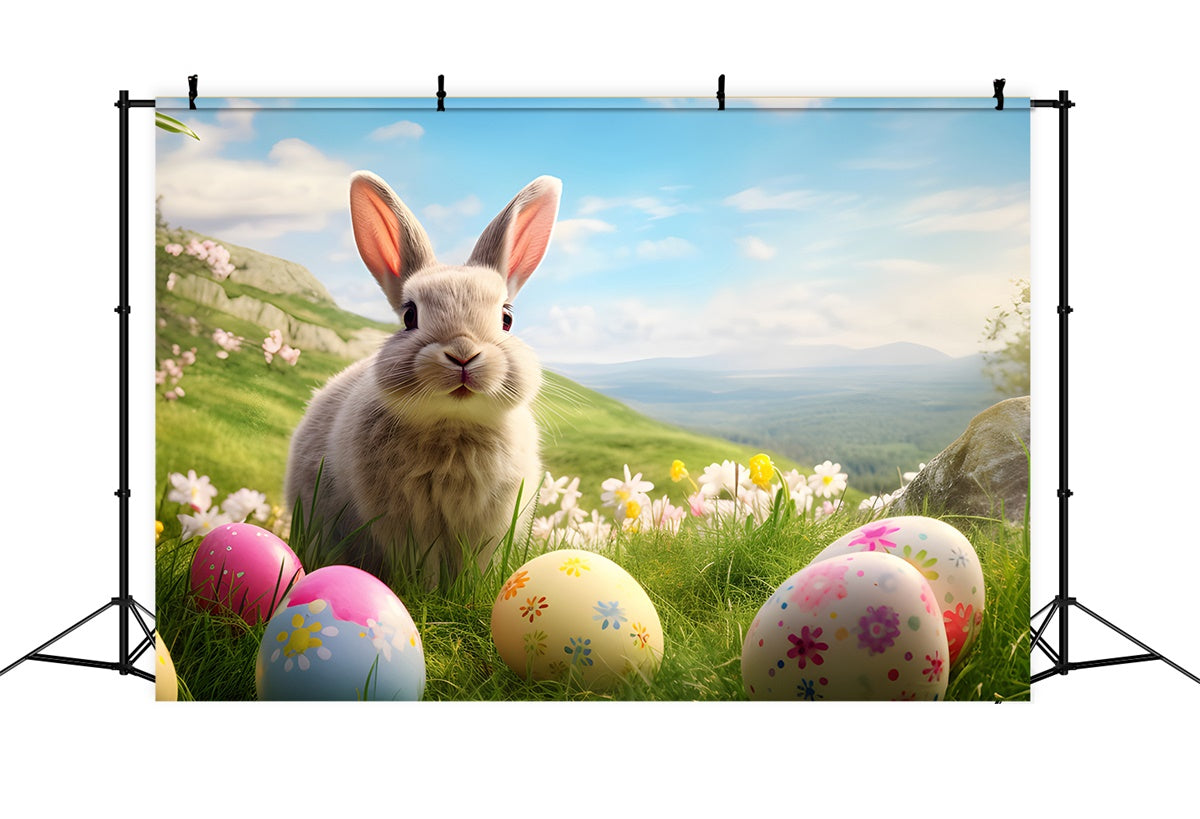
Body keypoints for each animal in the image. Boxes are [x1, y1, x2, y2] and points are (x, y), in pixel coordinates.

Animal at [284, 171, 562, 587]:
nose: (462, 353)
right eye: (409, 316)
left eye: (507, 318)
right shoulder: (402, 523)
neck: (454, 425)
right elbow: (422, 567)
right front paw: (424, 592)